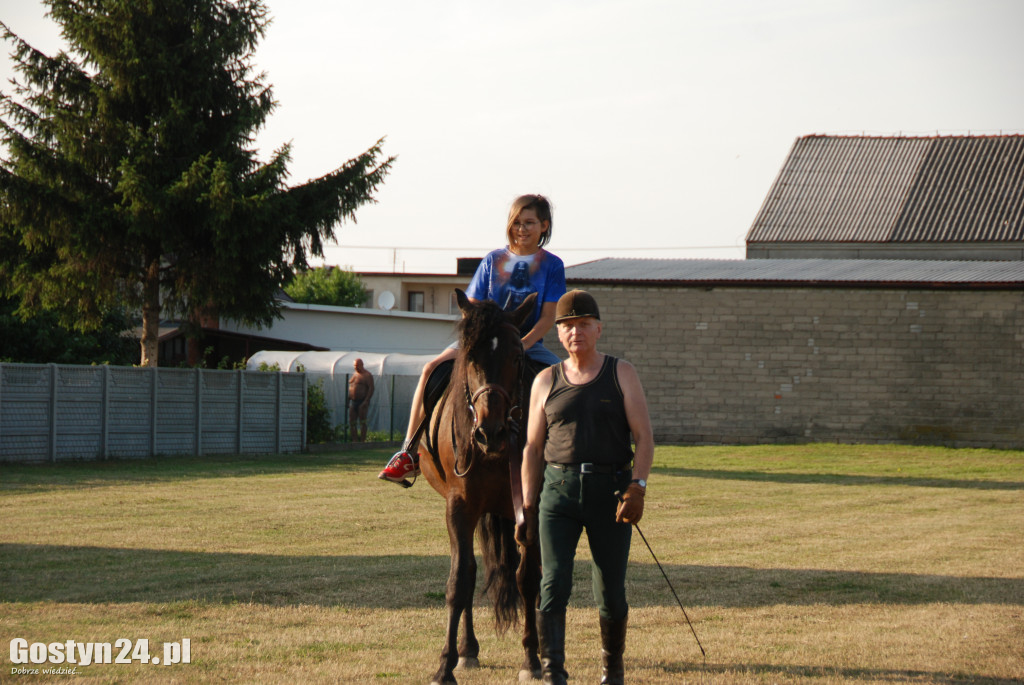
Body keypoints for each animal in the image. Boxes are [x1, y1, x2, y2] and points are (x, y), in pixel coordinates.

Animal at [417, 288, 544, 683]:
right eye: (470, 355)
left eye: (517, 356)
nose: (491, 432)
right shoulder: (460, 507)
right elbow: (459, 581)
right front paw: (445, 664)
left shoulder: (530, 509)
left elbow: (528, 578)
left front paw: (531, 659)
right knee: (469, 572)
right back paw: (467, 649)